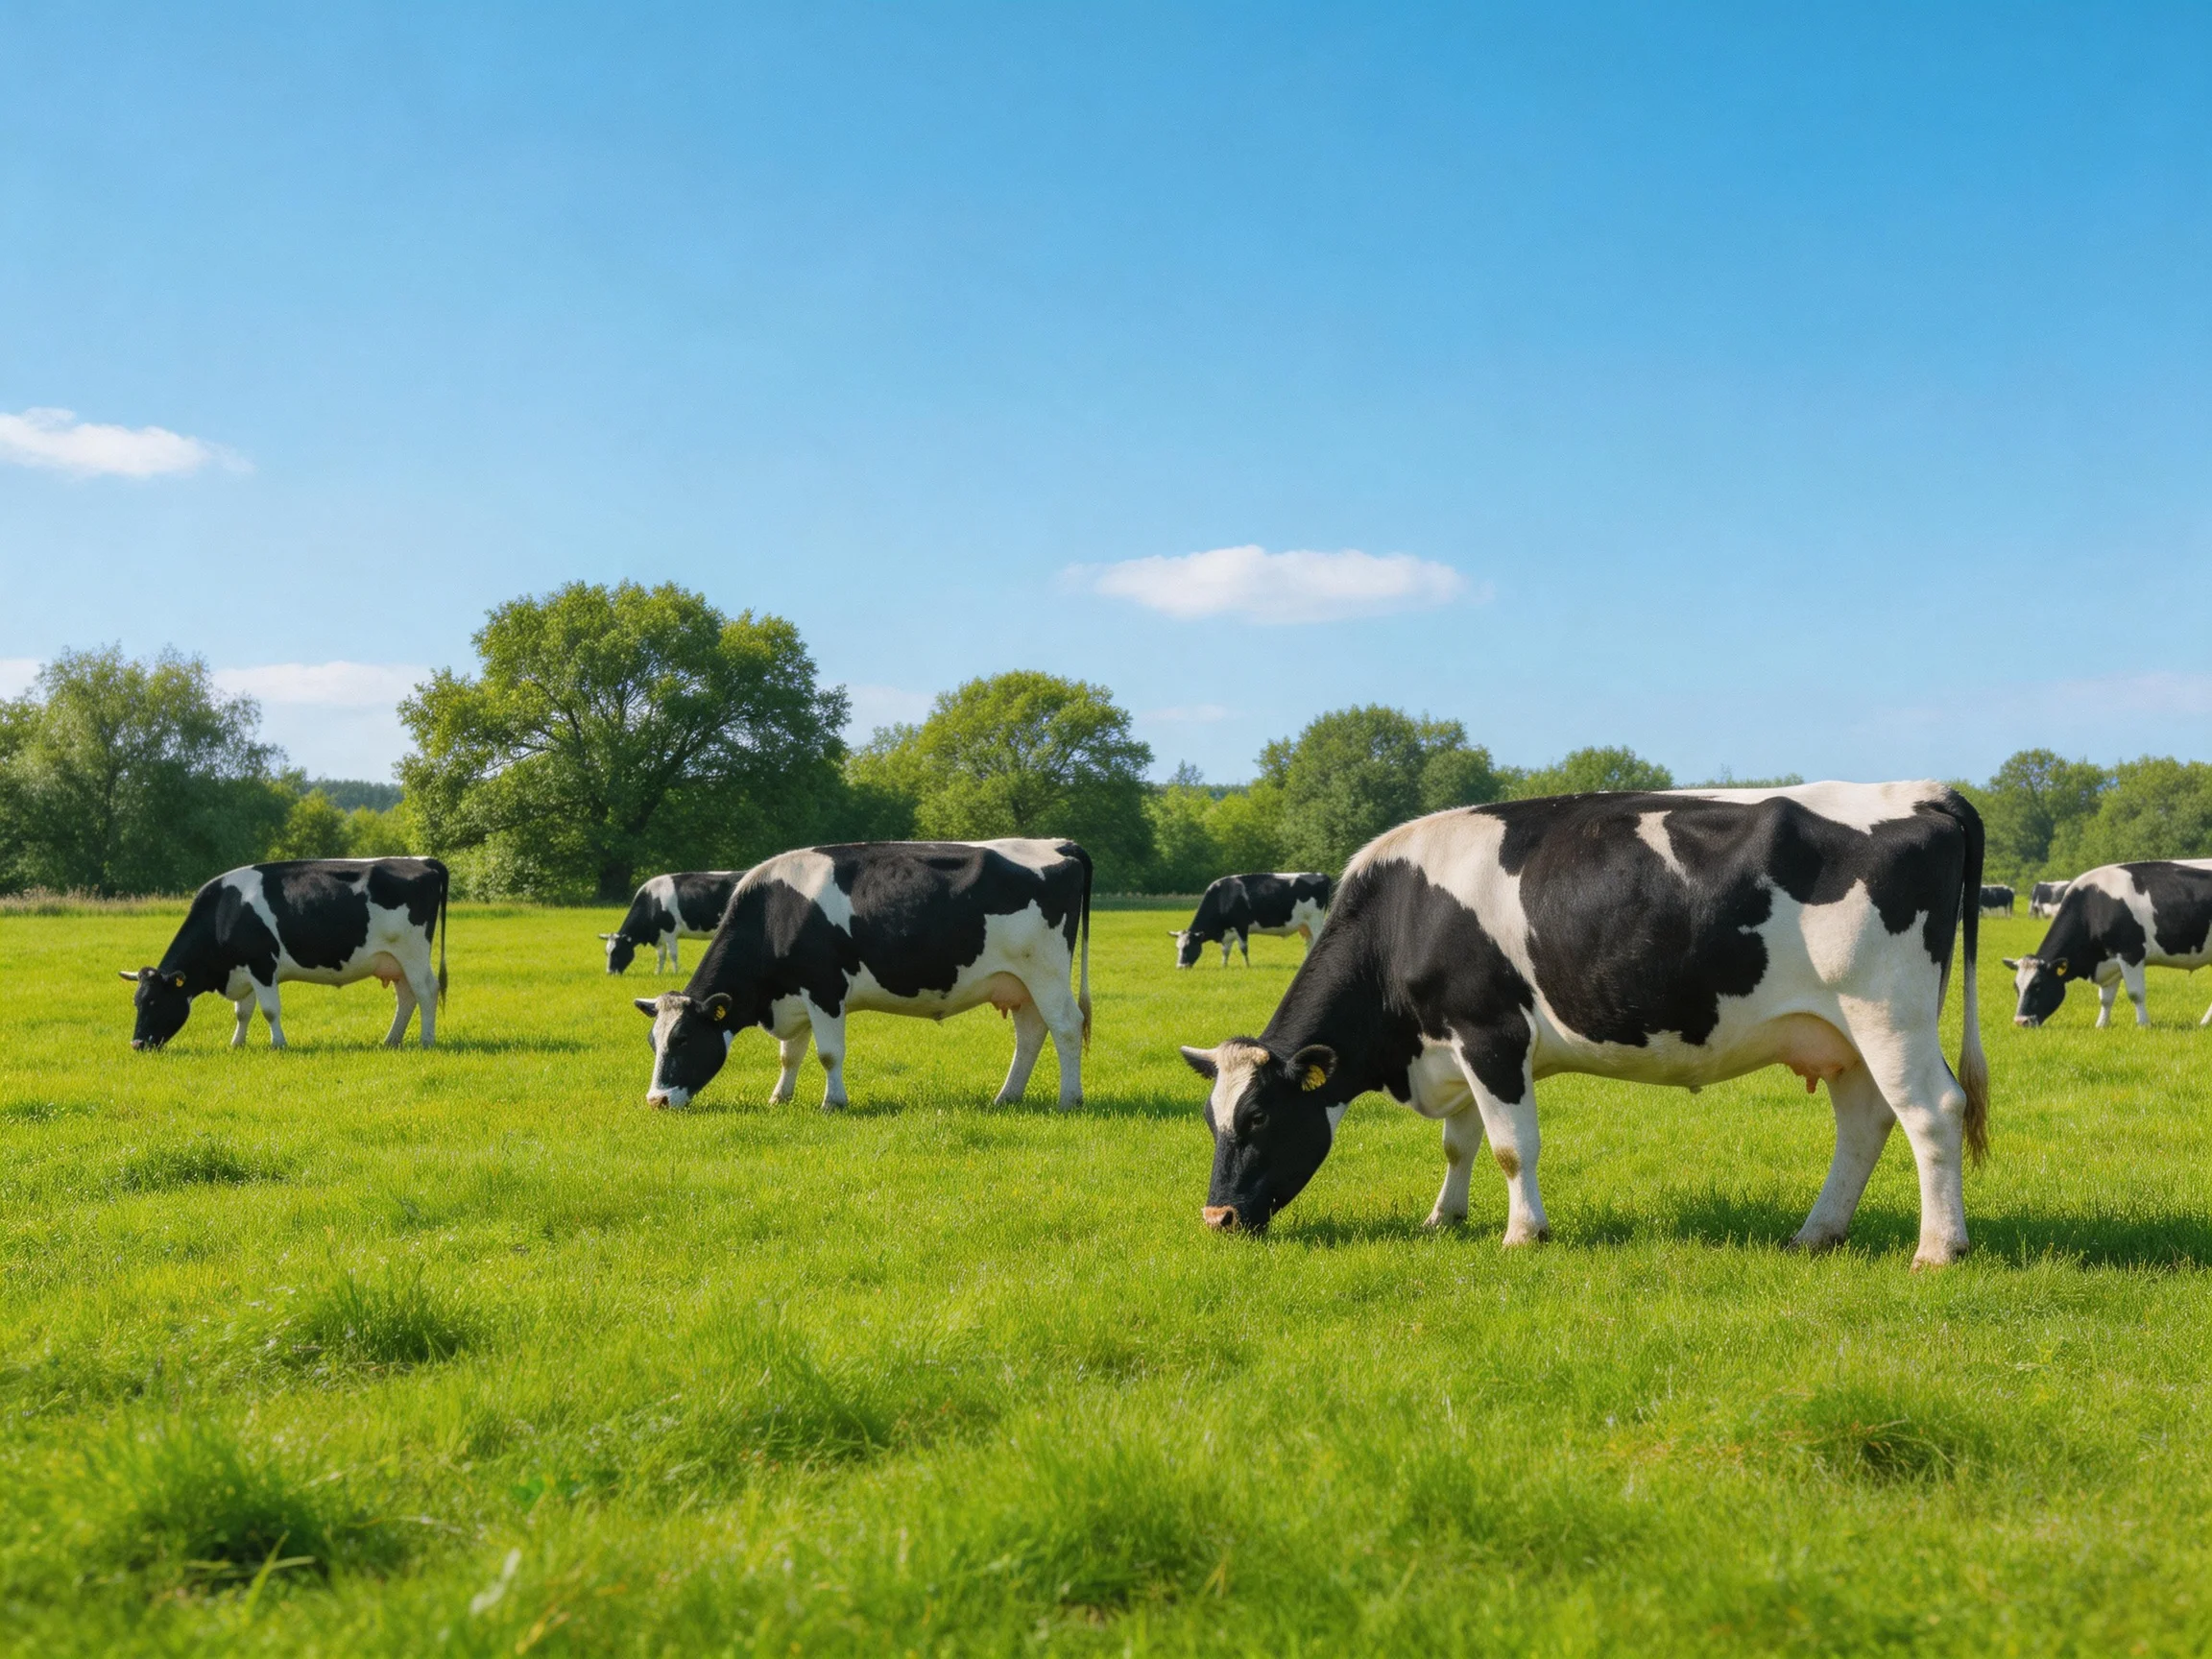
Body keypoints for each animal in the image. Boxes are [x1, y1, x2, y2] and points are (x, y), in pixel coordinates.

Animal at [120, 858, 449, 1051]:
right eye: (136, 1002)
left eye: (154, 1001)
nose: (136, 1043)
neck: (225, 912)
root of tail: (420, 861)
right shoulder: (245, 970)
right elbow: (243, 1012)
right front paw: (236, 1044)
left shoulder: (262, 966)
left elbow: (269, 1010)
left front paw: (278, 1044)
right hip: (394, 960)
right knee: (406, 997)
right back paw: (391, 1040)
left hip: (413, 952)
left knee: (426, 990)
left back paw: (427, 1040)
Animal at [600, 871, 741, 973]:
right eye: (607, 952)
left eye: (617, 951)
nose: (609, 973)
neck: (652, 902)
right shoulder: (659, 935)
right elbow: (661, 955)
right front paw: (658, 973)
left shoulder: (670, 932)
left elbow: (673, 955)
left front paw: (675, 973)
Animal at [636, 839, 1091, 1112]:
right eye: (653, 1041)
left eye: (683, 1038)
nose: (657, 1100)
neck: (776, 914)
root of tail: (1055, 844)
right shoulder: (796, 996)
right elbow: (790, 1054)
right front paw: (780, 1097)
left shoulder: (824, 989)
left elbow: (827, 1054)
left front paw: (833, 1103)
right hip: (1020, 983)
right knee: (1031, 1033)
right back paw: (1007, 1097)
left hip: (1046, 971)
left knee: (1067, 1026)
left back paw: (1069, 1099)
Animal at [1172, 872, 1333, 969]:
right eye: (1178, 947)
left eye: (1189, 946)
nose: (1180, 967)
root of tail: (1321, 875)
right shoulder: (1228, 932)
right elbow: (1225, 951)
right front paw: (1224, 966)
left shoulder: (1241, 926)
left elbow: (1244, 948)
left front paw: (1248, 966)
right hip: (1304, 925)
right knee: (1309, 943)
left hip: (1315, 921)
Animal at [2002, 860, 2212, 1029]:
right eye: (2016, 987)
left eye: (2038, 985)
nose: (2020, 1021)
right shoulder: (2109, 961)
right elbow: (2105, 999)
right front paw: (2101, 1025)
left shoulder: (2131, 953)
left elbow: (2136, 993)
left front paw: (2143, 1024)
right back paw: (2204, 1023)